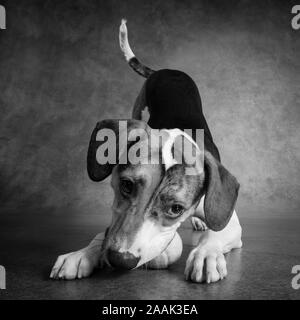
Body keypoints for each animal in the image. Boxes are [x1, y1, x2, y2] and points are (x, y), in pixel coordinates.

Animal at [49, 20, 241, 284]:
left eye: (176, 209)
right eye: (126, 185)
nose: (121, 259)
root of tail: (165, 70)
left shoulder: (232, 224)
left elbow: (216, 234)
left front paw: (206, 255)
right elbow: (105, 232)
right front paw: (82, 254)